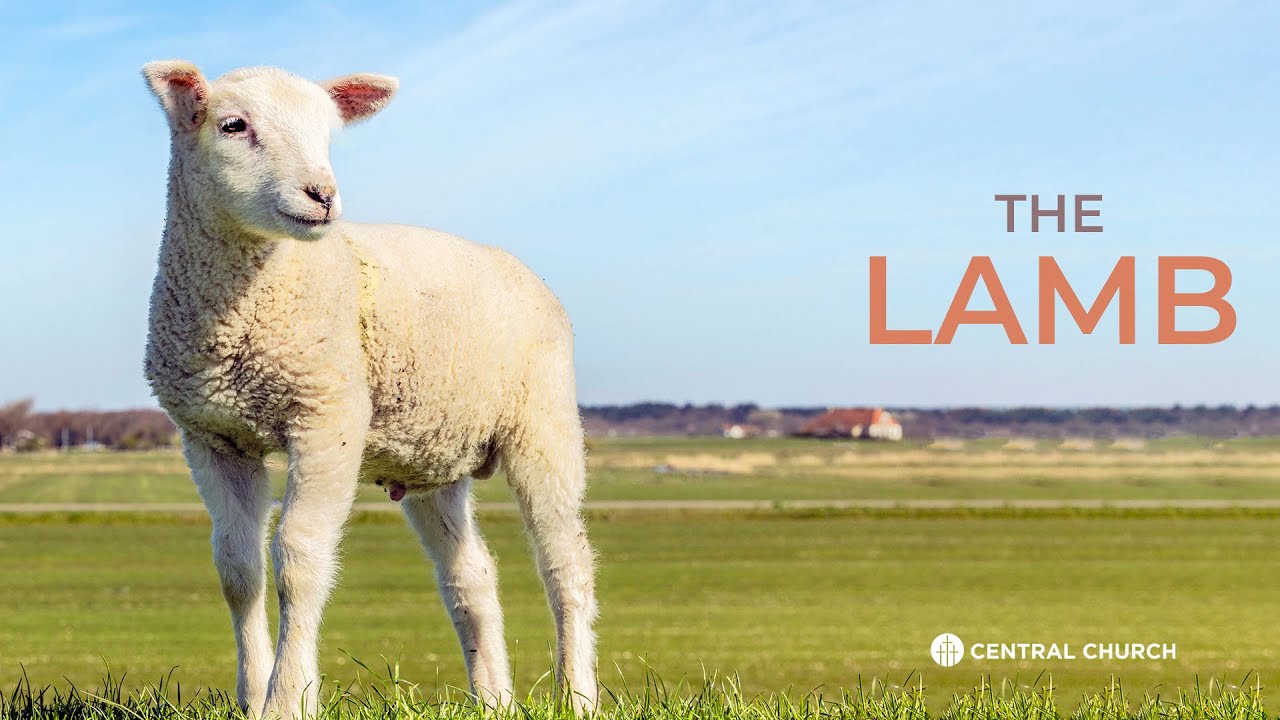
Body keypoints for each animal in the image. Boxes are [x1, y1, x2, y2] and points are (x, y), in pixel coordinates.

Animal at [140, 60, 598, 718]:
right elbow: (238, 570)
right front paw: (253, 696)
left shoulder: (328, 417)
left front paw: (288, 698)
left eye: (328, 134)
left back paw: (577, 694)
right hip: (434, 455)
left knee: (566, 565)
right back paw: (492, 700)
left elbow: (299, 559)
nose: (322, 195)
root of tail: (518, 266)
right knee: (472, 577)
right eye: (233, 126)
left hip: (544, 420)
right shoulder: (211, 437)